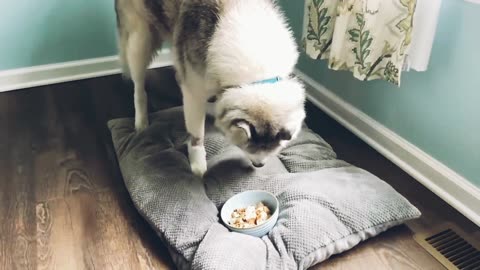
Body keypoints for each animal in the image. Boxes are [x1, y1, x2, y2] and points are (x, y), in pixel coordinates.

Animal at [114, 0, 306, 176]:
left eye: (273, 147)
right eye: (248, 145)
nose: (259, 165)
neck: (257, 77)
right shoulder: (194, 92)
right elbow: (197, 133)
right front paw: (198, 162)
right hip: (140, 40)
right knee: (138, 85)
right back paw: (141, 120)